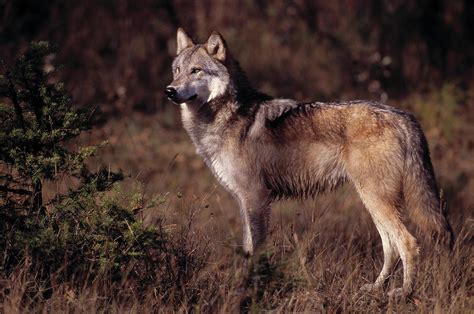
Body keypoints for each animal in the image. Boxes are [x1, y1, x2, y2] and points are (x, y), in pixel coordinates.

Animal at [165, 27, 454, 296]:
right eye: (177, 70)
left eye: (195, 70)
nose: (169, 91)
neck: (228, 116)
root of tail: (402, 116)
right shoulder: (245, 201)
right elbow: (248, 248)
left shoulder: (256, 198)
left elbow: (256, 250)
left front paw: (251, 289)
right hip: (373, 200)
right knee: (390, 246)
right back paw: (375, 288)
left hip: (376, 198)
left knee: (407, 242)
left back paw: (404, 293)